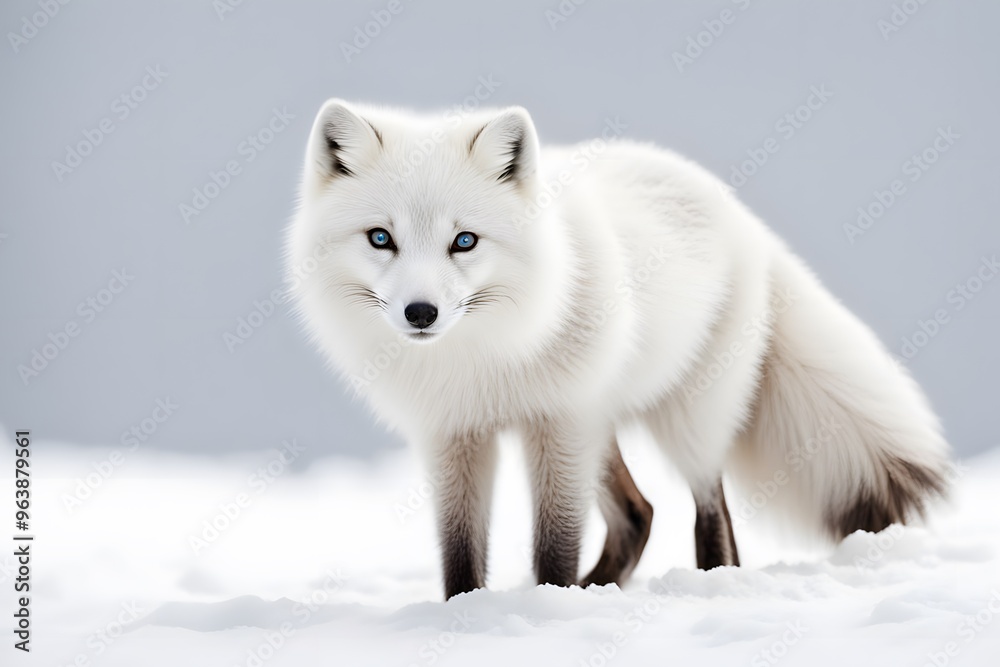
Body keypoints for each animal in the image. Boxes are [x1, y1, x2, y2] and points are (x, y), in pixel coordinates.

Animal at [285, 99, 951, 600]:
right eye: (381, 239)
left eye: (464, 242)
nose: (420, 313)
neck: (483, 362)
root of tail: (743, 216)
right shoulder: (454, 435)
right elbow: (461, 554)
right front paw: (467, 616)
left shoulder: (559, 422)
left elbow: (554, 544)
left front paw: (547, 606)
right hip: (601, 429)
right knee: (640, 515)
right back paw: (600, 589)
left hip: (681, 418)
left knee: (710, 513)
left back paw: (704, 583)